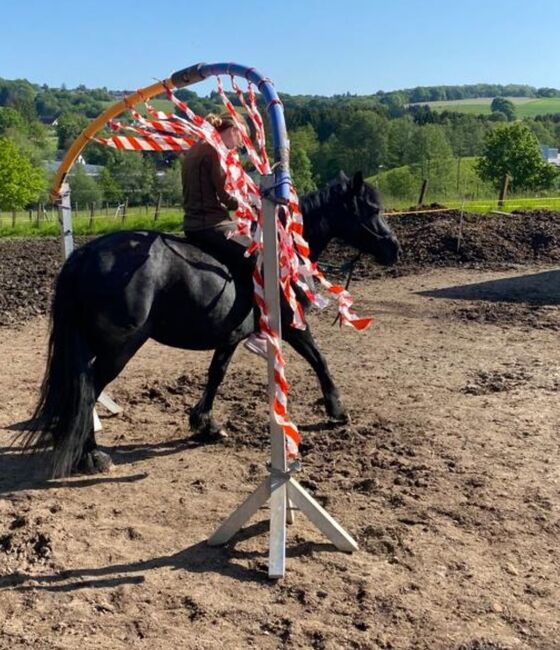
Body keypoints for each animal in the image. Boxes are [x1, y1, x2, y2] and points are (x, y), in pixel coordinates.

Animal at [25, 172, 398, 476]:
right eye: (371, 209)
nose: (394, 248)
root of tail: (85, 255)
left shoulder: (230, 336)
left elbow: (216, 374)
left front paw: (204, 423)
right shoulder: (293, 326)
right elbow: (320, 360)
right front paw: (337, 409)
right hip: (119, 348)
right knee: (89, 390)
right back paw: (91, 455)